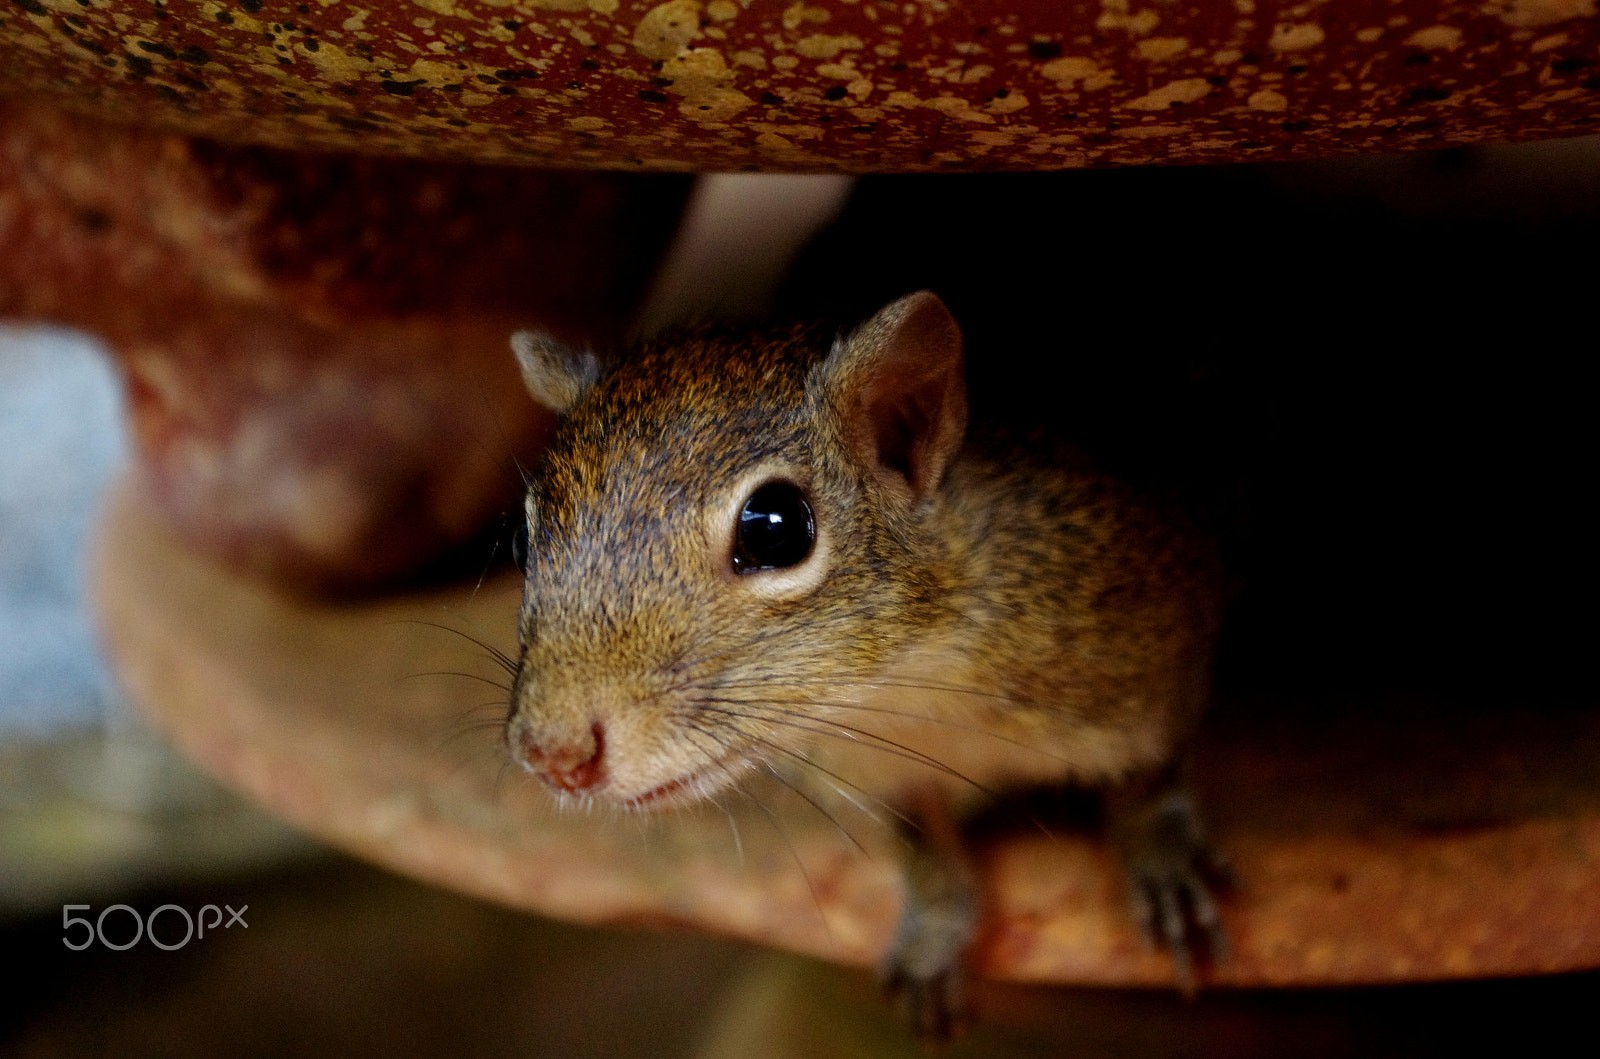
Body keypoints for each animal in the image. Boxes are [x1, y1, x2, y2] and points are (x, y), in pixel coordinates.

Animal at [505, 294, 1228, 1043]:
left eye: (774, 528)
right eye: (524, 536)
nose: (553, 755)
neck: (901, 688)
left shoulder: (1148, 646)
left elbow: (1148, 771)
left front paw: (1161, 850)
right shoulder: (876, 776)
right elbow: (921, 845)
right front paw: (934, 928)